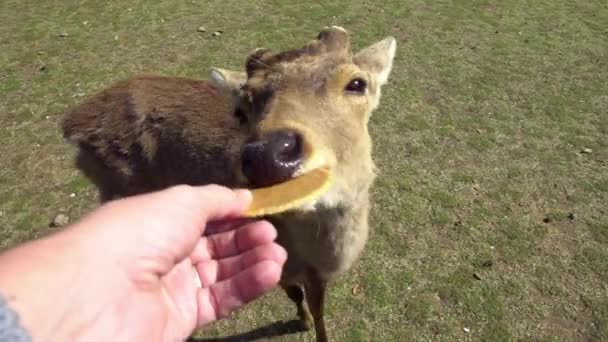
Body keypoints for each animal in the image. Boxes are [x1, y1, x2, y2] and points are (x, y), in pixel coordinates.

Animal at [60, 26, 394, 342]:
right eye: (241, 110)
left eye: (357, 83)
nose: (266, 154)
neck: (314, 257)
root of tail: (71, 124)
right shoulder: (284, 268)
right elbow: (296, 295)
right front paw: (302, 320)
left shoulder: (316, 276)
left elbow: (320, 309)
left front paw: (309, 322)